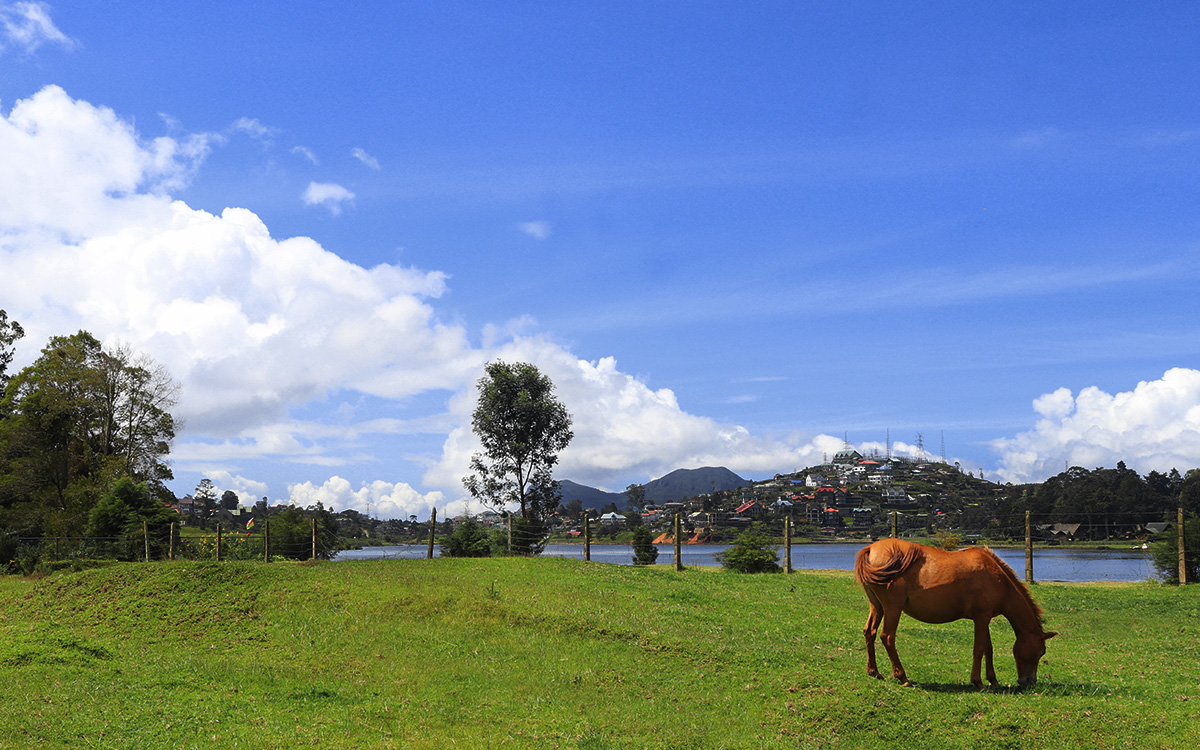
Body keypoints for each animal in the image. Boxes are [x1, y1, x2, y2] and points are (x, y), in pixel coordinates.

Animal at [854, 535, 1060, 686]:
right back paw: (902, 677)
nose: (1028, 681)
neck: (998, 578)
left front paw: (993, 680)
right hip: (893, 608)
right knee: (887, 637)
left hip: (877, 606)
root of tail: (871, 549)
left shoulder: (983, 618)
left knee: (869, 632)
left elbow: (988, 648)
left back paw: (874, 671)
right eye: (1041, 652)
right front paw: (978, 682)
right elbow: (979, 648)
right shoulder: (982, 617)